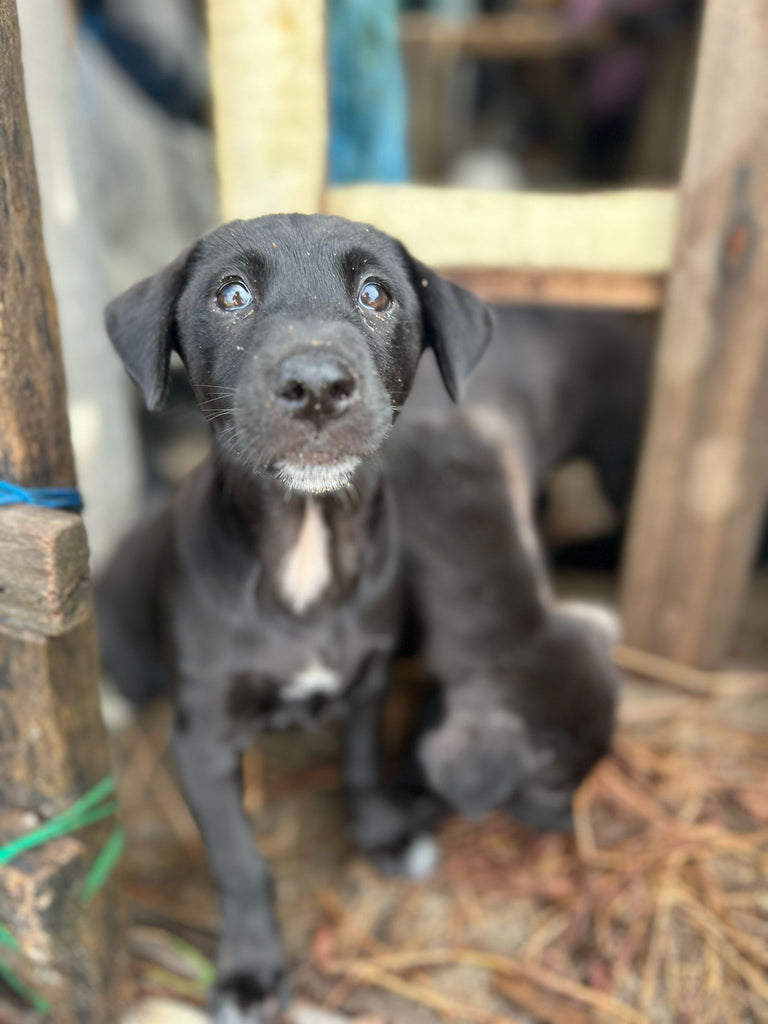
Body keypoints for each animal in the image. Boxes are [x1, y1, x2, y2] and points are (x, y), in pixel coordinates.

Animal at [97, 211, 493, 1019]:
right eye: (231, 293)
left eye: (376, 293)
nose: (315, 386)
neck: (305, 550)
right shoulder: (203, 743)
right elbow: (240, 863)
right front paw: (251, 971)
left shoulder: (368, 682)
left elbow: (363, 767)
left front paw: (384, 836)